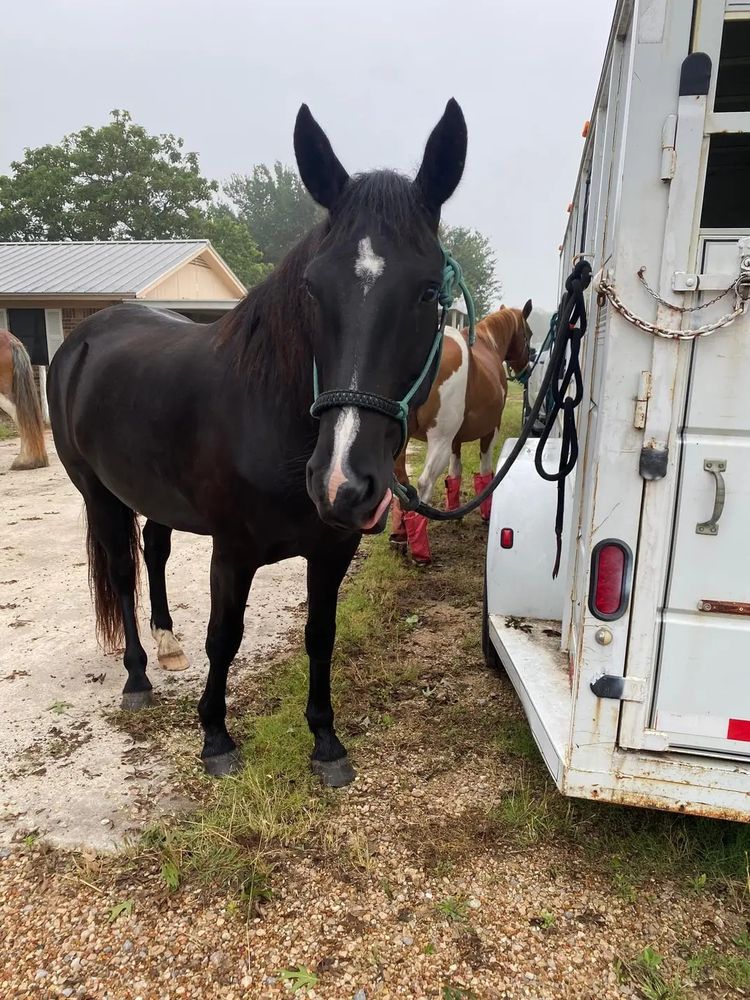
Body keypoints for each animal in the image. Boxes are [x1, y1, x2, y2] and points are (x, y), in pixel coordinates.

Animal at [47, 99, 468, 788]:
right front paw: (215, 738)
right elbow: (226, 635)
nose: (342, 483)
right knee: (121, 570)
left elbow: (320, 634)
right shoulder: (233, 551)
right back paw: (137, 675)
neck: (272, 417)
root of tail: (84, 339)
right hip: (99, 495)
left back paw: (167, 644)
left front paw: (326, 740)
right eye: (313, 289)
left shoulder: (333, 548)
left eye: (430, 291)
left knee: (154, 550)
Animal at [389, 301, 533, 564]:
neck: (488, 344)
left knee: (401, 485)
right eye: (528, 334)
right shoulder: (490, 431)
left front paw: (454, 512)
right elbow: (486, 473)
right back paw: (421, 551)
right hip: (439, 441)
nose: (525, 371)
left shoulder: (455, 440)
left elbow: (454, 473)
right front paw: (486, 514)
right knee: (423, 484)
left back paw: (400, 536)